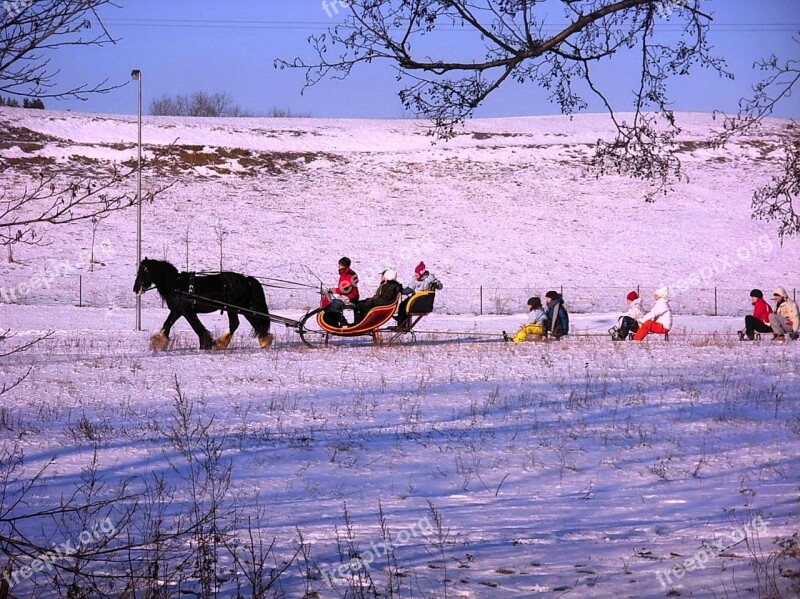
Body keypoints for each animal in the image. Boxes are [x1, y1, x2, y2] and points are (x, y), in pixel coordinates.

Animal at [133, 258, 274, 352]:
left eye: (143, 271)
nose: (135, 289)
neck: (176, 285)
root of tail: (246, 279)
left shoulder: (187, 311)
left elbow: (197, 327)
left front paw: (205, 345)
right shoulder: (177, 311)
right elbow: (166, 325)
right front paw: (158, 343)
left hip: (233, 308)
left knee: (236, 324)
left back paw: (220, 343)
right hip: (242, 308)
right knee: (255, 322)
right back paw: (264, 341)